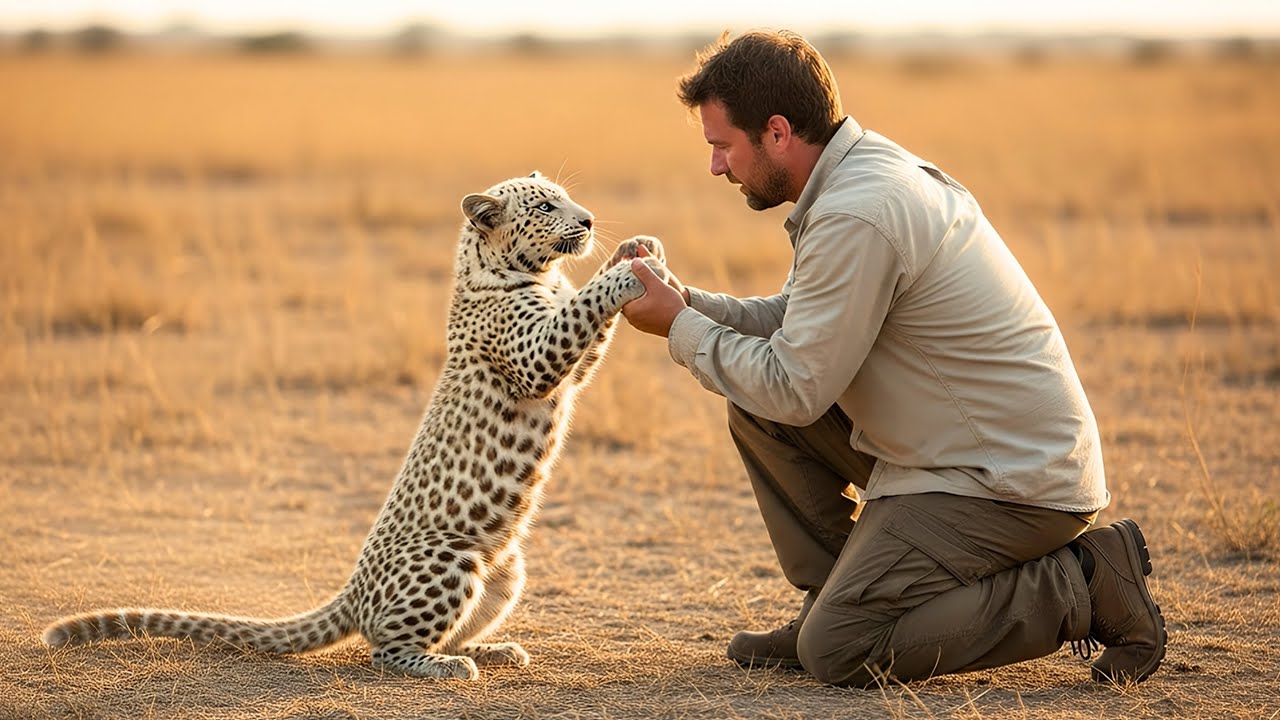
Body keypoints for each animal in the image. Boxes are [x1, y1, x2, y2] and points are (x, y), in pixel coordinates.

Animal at [41, 171, 668, 680]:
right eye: (543, 207)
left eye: (565, 198)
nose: (588, 220)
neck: (518, 270)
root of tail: (355, 592)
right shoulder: (536, 356)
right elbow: (584, 306)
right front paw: (632, 272)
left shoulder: (570, 368)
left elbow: (586, 321)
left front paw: (638, 248)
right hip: (453, 558)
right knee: (383, 649)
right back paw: (446, 666)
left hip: (505, 568)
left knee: (444, 630)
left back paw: (492, 651)